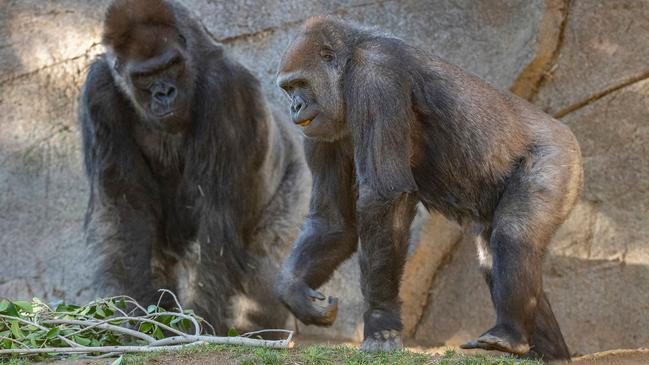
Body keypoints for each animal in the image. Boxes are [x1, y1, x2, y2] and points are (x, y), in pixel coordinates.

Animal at [78, 0, 308, 332]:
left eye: (171, 66)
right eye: (145, 76)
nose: (164, 93)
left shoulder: (225, 90)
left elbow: (215, 222)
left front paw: (199, 324)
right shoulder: (99, 91)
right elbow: (126, 212)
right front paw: (136, 317)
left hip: (297, 179)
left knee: (263, 274)